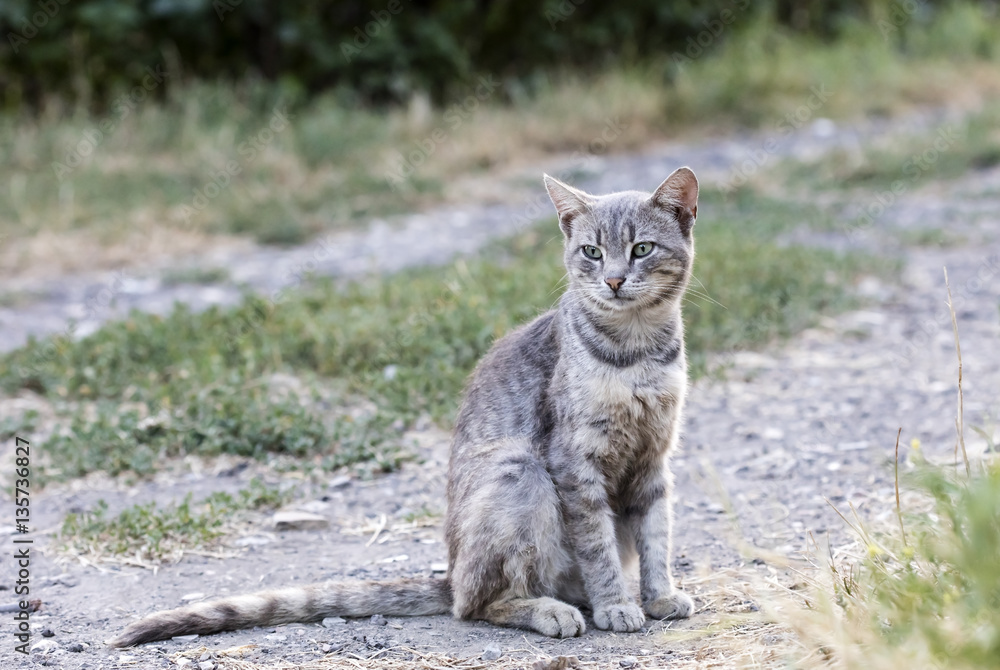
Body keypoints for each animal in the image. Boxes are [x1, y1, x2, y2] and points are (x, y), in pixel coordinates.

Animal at [109, 168, 700, 652]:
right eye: (592, 253)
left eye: (642, 248)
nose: (614, 279)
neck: (636, 352)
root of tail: (450, 572)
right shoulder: (576, 464)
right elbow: (598, 546)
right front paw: (616, 604)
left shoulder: (654, 460)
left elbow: (656, 537)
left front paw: (657, 595)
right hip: (519, 473)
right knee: (475, 603)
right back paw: (549, 610)